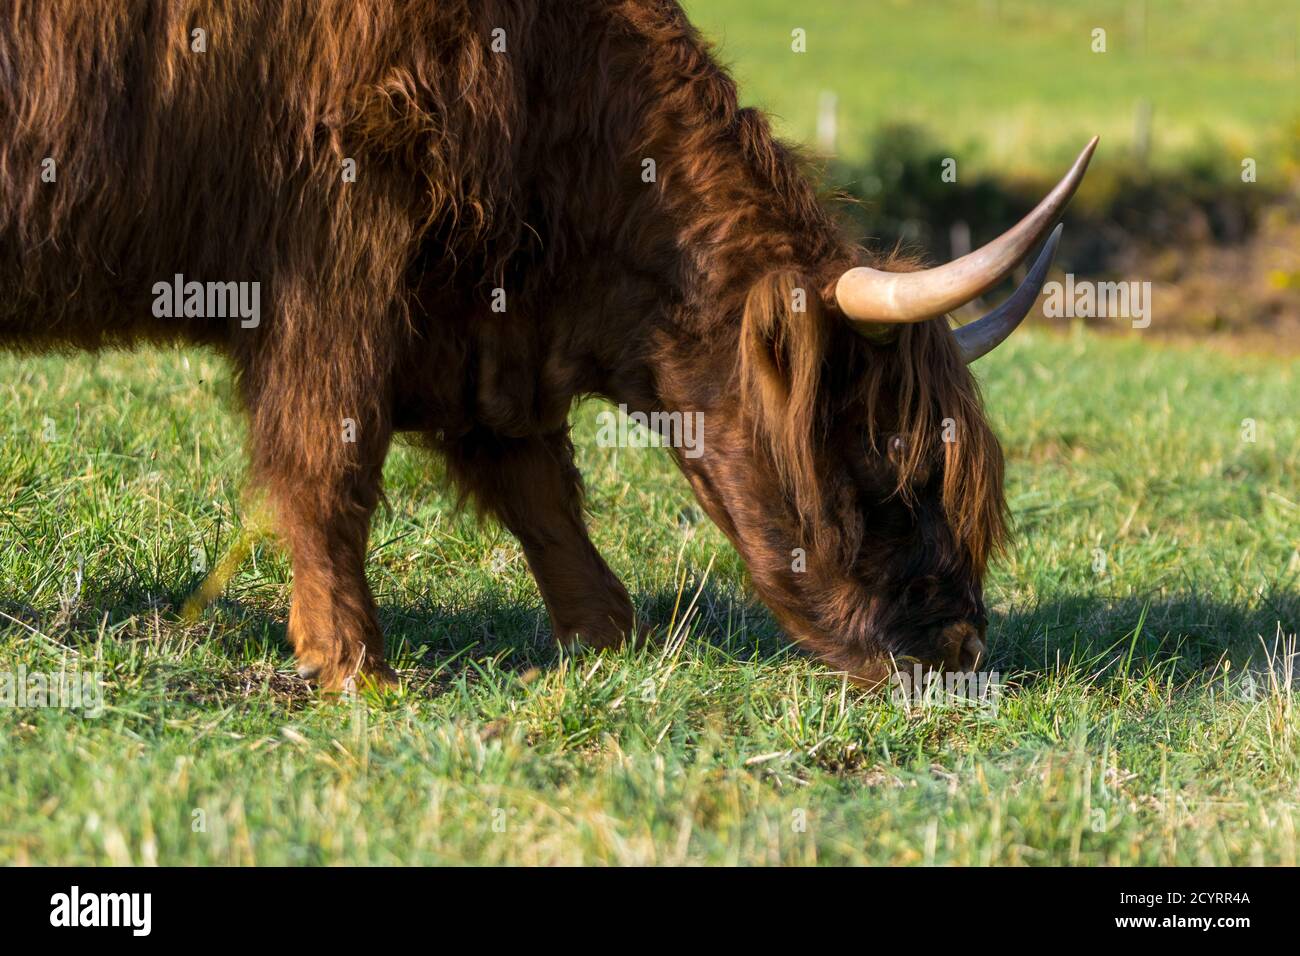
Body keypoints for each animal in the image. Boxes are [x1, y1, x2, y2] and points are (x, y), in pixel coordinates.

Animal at [0, 0, 1095, 691]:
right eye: (887, 458)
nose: (959, 644)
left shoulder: (480, 330)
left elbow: (538, 488)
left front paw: (607, 636)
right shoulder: (339, 252)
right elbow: (330, 461)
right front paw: (353, 665)